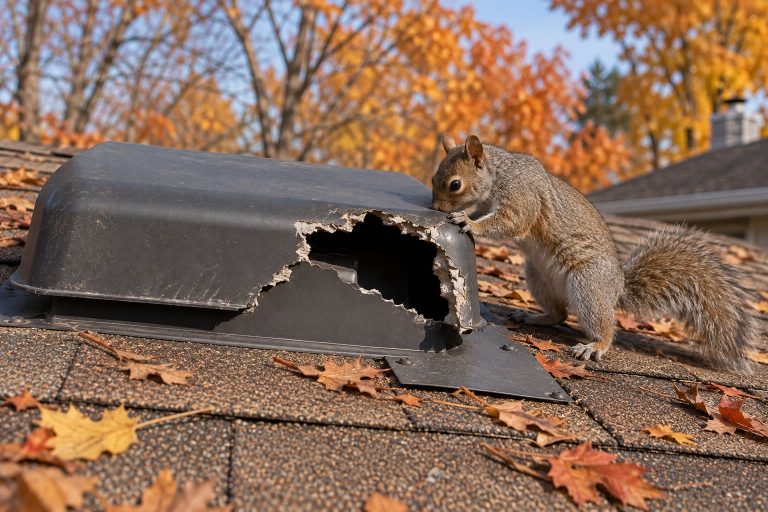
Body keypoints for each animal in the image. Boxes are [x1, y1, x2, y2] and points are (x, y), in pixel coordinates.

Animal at [431, 133, 758, 372]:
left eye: (455, 184)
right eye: (434, 177)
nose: (435, 207)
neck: (500, 174)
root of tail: (617, 288)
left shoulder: (521, 197)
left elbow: (513, 222)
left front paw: (469, 222)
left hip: (588, 285)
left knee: (603, 326)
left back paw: (595, 345)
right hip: (538, 276)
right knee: (559, 313)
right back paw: (536, 317)